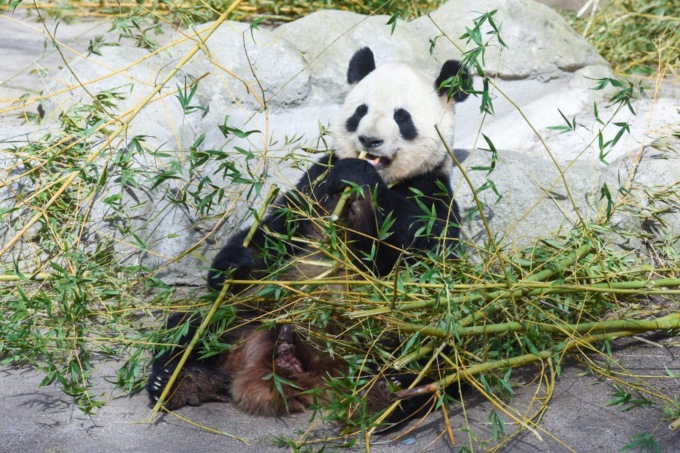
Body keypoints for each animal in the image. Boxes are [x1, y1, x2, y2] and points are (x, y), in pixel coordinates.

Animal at [147, 47, 471, 423]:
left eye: (402, 117)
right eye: (360, 112)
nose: (369, 140)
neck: (388, 178)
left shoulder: (431, 193)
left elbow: (412, 255)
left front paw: (360, 179)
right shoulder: (315, 182)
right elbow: (277, 228)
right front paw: (233, 264)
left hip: (404, 335)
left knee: (432, 355)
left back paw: (392, 397)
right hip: (247, 314)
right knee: (190, 328)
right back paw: (179, 380)